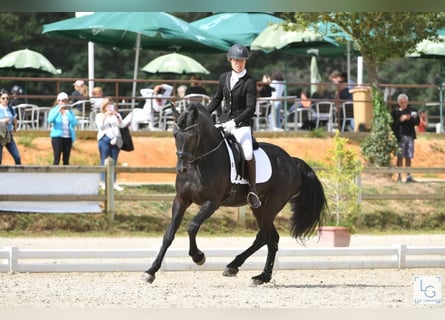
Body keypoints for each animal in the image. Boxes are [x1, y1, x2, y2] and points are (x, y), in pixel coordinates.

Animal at [144, 103, 328, 284]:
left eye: (193, 135)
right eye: (175, 135)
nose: (182, 169)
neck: (200, 162)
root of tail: (292, 161)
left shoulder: (212, 202)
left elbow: (192, 226)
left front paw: (198, 257)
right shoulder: (181, 199)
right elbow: (169, 235)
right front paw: (151, 271)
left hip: (273, 205)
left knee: (262, 237)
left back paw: (233, 265)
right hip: (259, 207)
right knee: (272, 239)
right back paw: (262, 277)